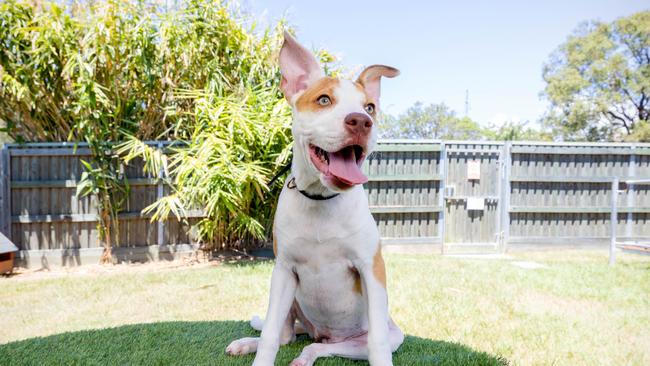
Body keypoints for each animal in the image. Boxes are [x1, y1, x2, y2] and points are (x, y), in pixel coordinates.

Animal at [225, 32, 402, 366]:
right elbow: (269, 336)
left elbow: (378, 343)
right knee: (285, 336)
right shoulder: (283, 272)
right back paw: (246, 343)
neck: (321, 200)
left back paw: (306, 356)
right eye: (323, 100)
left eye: (370, 107)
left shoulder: (371, 269)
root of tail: (322, 333)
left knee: (319, 347)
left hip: (379, 335)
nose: (361, 121)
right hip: (291, 301)